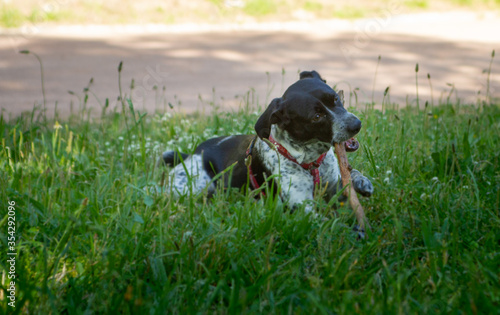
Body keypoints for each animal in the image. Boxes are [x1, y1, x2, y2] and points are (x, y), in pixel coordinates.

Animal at [160, 71, 372, 215]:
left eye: (335, 98)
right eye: (316, 117)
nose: (357, 125)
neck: (310, 162)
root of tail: (193, 154)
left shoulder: (334, 184)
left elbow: (351, 176)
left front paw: (361, 181)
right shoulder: (302, 206)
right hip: (188, 187)